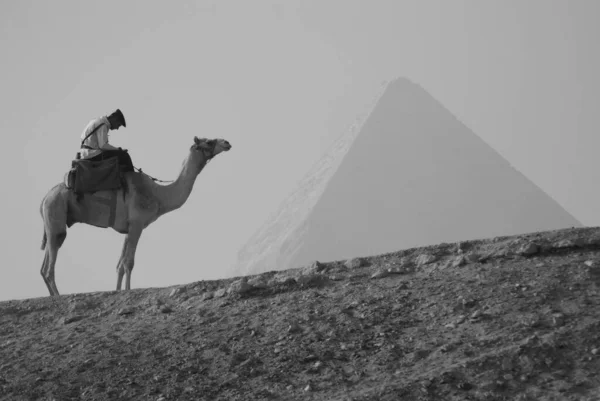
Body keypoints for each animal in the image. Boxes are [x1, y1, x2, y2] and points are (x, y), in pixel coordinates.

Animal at [39, 136, 232, 296]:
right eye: (208, 141)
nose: (227, 143)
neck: (158, 196)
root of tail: (44, 199)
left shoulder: (129, 227)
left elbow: (120, 264)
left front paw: (117, 290)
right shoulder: (137, 223)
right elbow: (129, 262)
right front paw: (128, 290)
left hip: (52, 220)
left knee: (44, 265)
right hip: (55, 212)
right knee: (50, 265)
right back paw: (57, 296)